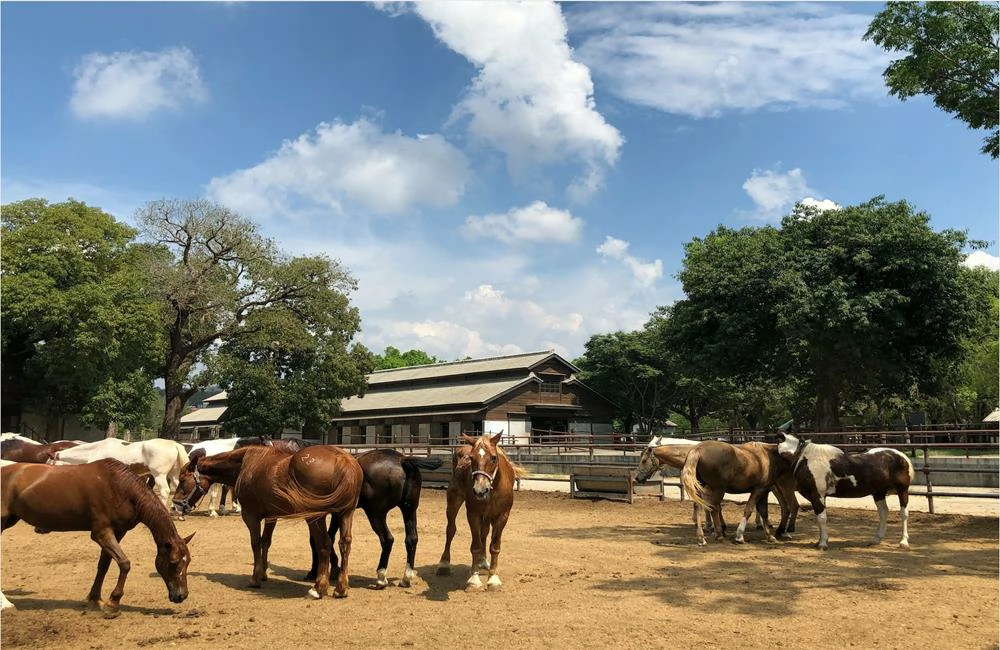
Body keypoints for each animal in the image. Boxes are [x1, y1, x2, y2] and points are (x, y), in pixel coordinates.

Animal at [0, 456, 193, 612]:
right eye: (174, 563)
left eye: (188, 562)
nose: (182, 596)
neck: (121, 488)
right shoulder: (101, 533)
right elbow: (124, 563)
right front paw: (113, 602)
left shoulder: (118, 532)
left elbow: (104, 565)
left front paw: (95, 599)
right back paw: (6, 604)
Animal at [49, 436, 191, 512]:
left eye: (51, 462)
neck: (96, 450)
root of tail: (174, 444)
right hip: (174, 474)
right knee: (179, 487)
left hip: (159, 475)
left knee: (165, 491)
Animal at [176, 446, 364, 596]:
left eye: (183, 480)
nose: (176, 505)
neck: (246, 465)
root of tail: (343, 459)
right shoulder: (271, 516)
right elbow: (266, 542)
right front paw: (264, 573)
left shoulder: (250, 516)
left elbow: (255, 543)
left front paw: (255, 577)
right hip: (345, 514)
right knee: (344, 543)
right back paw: (341, 588)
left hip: (315, 517)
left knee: (324, 543)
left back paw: (319, 587)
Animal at [436, 432, 524, 588]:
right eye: (471, 458)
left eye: (494, 457)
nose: (480, 490)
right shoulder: (473, 514)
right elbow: (475, 546)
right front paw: (474, 578)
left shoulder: (502, 516)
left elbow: (494, 546)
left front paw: (493, 578)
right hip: (453, 501)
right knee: (450, 529)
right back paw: (444, 563)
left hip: (488, 515)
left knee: (484, 532)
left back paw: (483, 561)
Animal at [780, 430, 916, 548]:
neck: (804, 459)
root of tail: (902, 457)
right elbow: (820, 519)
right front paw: (820, 541)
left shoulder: (817, 496)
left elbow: (822, 518)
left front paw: (823, 543)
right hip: (879, 493)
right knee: (883, 513)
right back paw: (876, 539)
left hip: (902, 490)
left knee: (903, 513)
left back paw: (903, 542)